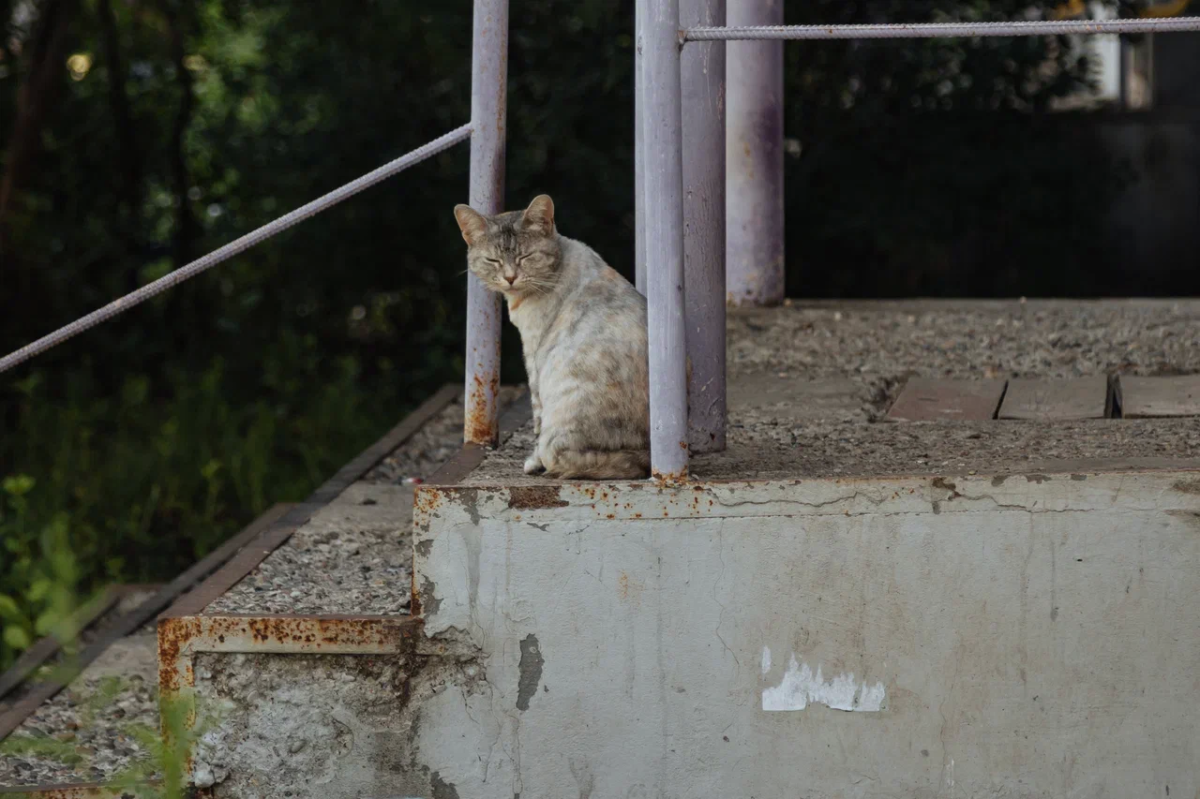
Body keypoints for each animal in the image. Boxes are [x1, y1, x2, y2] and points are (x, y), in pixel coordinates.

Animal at [453, 195, 652, 475]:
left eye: (525, 256)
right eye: (493, 261)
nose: (510, 277)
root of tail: (644, 453)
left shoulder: (534, 358)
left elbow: (537, 416)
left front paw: (532, 462)